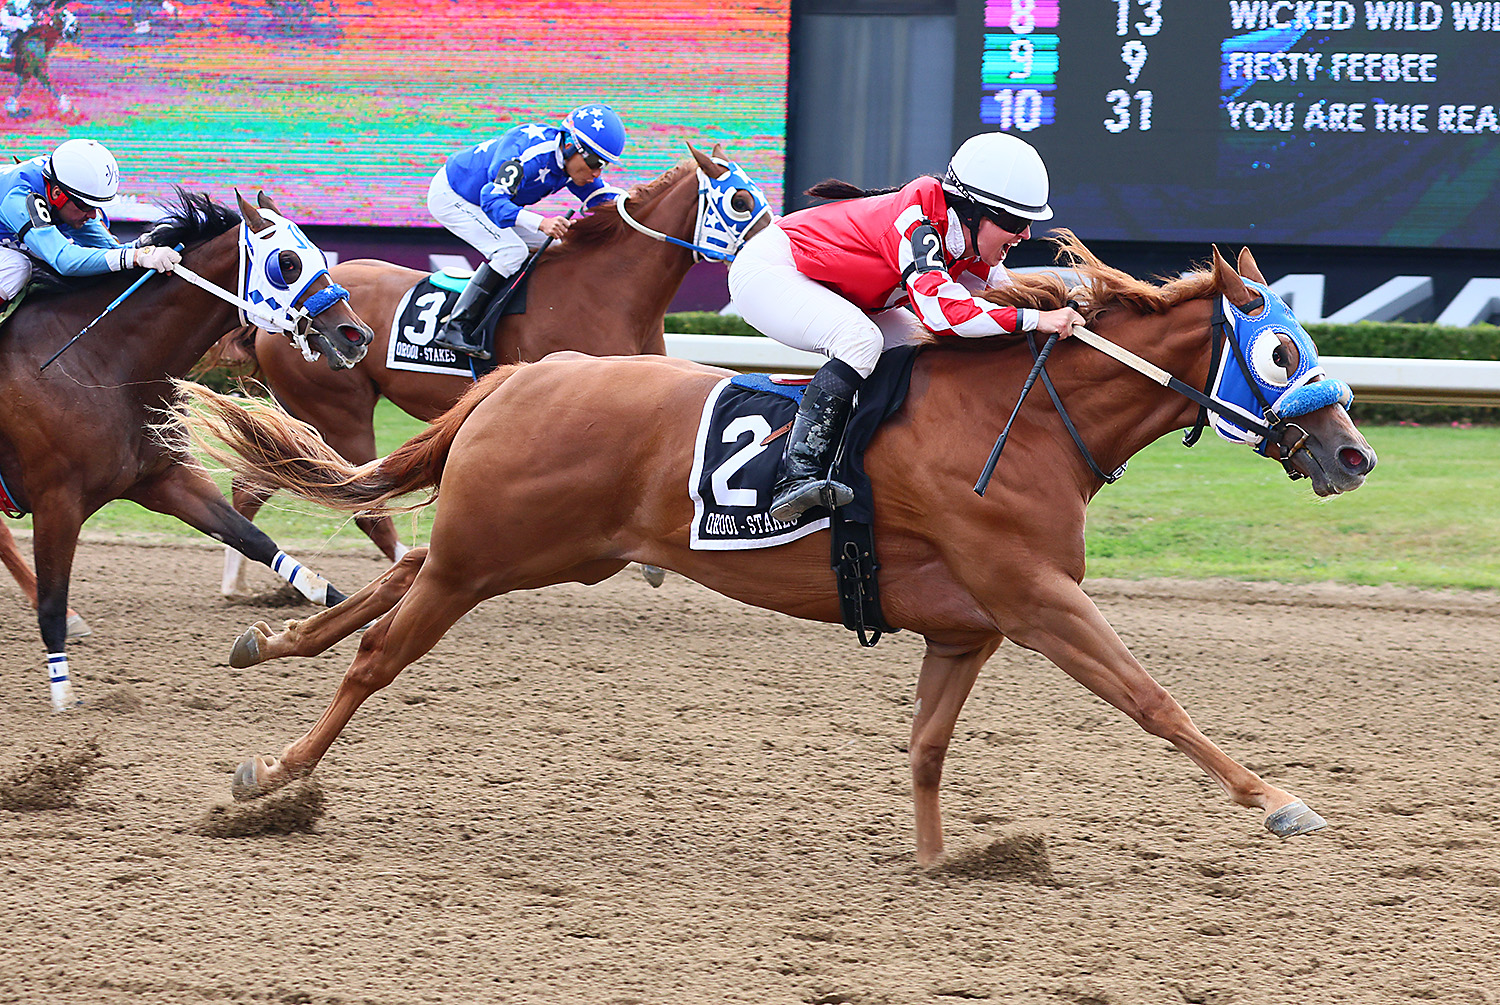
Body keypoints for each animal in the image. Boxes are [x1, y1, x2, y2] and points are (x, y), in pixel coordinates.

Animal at [0, 189, 372, 708]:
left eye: (321, 255)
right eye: (288, 262)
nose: (356, 335)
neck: (99, 364)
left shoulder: (163, 478)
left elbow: (255, 539)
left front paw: (346, 606)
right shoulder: (57, 499)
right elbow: (53, 601)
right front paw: (62, 697)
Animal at [181, 237, 1374, 864]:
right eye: (1279, 350)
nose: (1353, 451)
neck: (1029, 418)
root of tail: (524, 374)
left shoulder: (968, 629)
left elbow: (927, 746)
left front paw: (941, 862)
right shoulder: (1037, 602)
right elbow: (1154, 699)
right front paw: (1279, 798)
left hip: (536, 549)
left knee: (395, 573)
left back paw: (270, 642)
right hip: (493, 554)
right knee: (380, 654)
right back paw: (272, 772)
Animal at [222, 141, 774, 591]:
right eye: (740, 201)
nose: (778, 250)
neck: (603, 287)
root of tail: (274, 317)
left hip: (305, 412)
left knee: (253, 487)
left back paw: (241, 583)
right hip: (339, 411)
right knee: (360, 504)